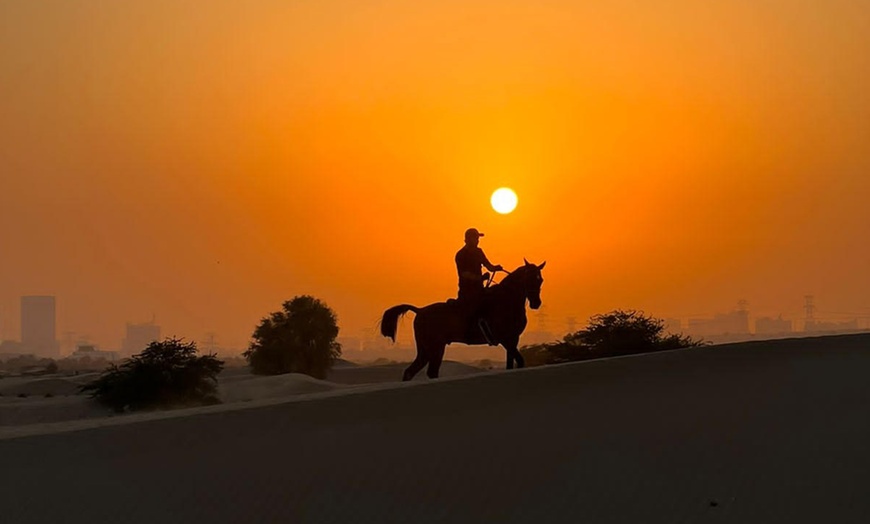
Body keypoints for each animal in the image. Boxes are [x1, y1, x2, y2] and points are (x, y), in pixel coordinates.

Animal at [380, 258, 544, 378]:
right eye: (529, 278)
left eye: (540, 279)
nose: (536, 303)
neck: (506, 300)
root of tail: (420, 310)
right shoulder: (505, 339)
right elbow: (520, 361)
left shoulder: (513, 339)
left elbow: (511, 364)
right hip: (435, 347)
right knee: (429, 371)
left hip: (426, 349)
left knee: (412, 371)